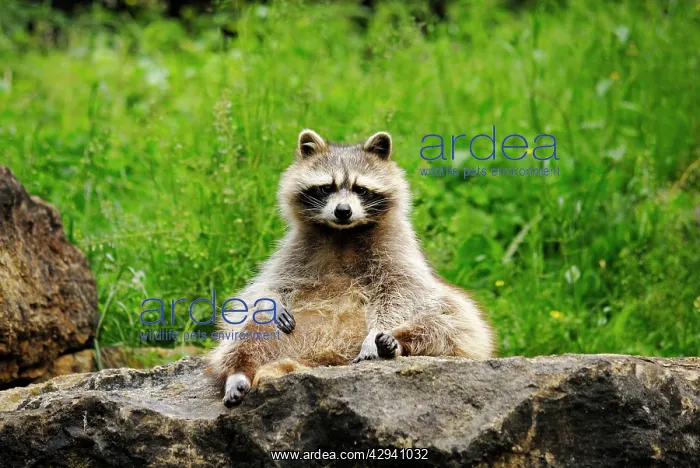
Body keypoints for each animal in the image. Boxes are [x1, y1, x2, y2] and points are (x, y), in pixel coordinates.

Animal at [208, 129, 494, 407]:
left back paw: (396, 342)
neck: (343, 233)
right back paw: (239, 370)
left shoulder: (398, 250)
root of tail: (328, 355)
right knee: (250, 330)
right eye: (326, 188)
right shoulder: (295, 250)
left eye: (361, 189)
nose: (343, 210)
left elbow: (403, 291)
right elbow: (268, 287)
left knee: (452, 319)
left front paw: (379, 332)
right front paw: (273, 303)